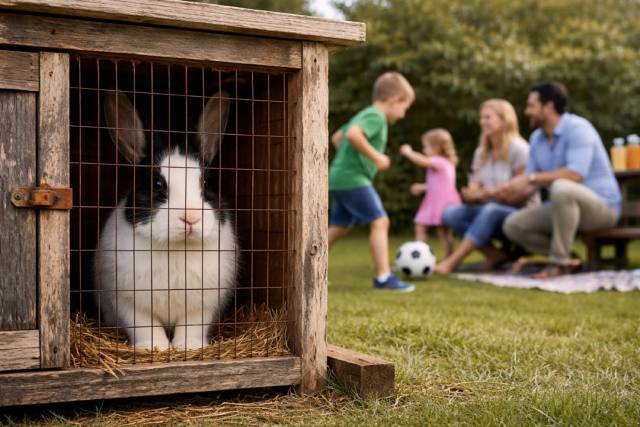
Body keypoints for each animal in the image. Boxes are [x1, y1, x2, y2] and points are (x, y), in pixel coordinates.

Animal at [94, 89, 238, 351]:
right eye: (157, 184)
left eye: (205, 183)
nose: (191, 217)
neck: (177, 246)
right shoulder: (129, 302)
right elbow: (144, 326)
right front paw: (155, 348)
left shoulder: (202, 305)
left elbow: (191, 327)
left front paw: (188, 347)